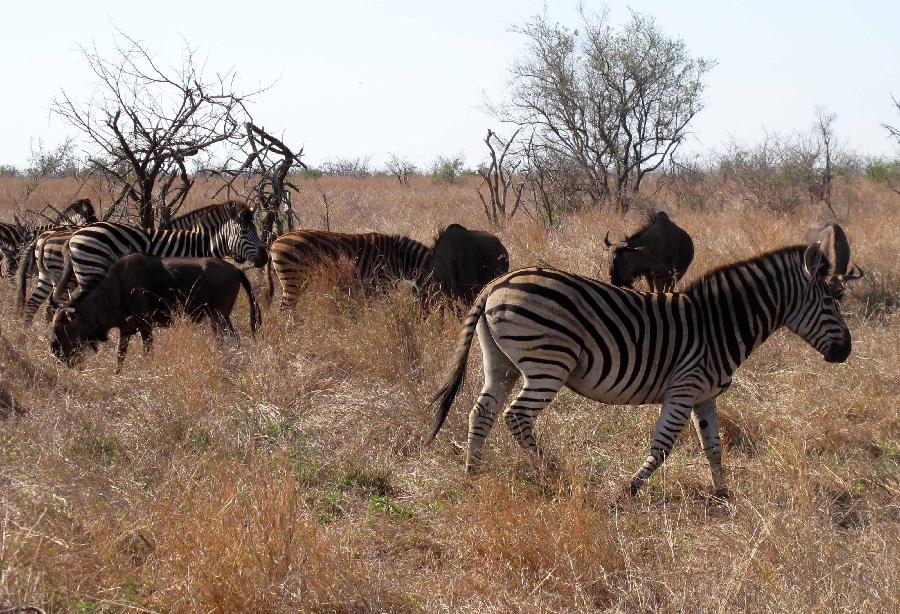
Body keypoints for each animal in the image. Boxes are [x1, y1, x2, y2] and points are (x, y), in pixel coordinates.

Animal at [49, 202, 268, 308]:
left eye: (256, 230)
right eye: (243, 232)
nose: (264, 258)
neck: (200, 244)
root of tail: (74, 236)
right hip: (91, 271)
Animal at [270, 230, 432, 310]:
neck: (398, 257)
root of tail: (275, 241)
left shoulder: (369, 288)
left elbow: (367, 308)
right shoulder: (381, 283)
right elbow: (387, 308)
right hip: (293, 279)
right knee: (285, 309)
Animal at [428, 243, 852, 498]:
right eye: (830, 302)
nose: (846, 352)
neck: (718, 325)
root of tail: (496, 283)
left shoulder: (704, 396)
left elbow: (713, 446)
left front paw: (723, 495)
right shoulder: (683, 388)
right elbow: (662, 446)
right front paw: (630, 489)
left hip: (502, 363)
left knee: (482, 411)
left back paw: (472, 473)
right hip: (549, 363)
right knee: (516, 416)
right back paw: (552, 473)